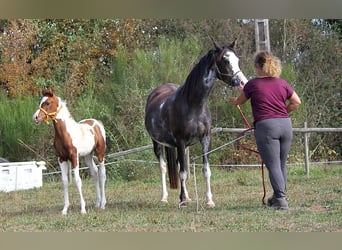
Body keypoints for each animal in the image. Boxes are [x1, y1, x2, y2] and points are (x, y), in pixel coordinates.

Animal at [144, 39, 246, 207]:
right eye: (225, 60)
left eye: (237, 60)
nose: (242, 83)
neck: (194, 104)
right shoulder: (180, 141)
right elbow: (183, 172)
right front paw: (182, 201)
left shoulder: (205, 139)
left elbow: (205, 170)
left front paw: (209, 200)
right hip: (158, 143)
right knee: (163, 167)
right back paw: (165, 197)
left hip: (182, 147)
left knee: (179, 165)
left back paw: (187, 196)